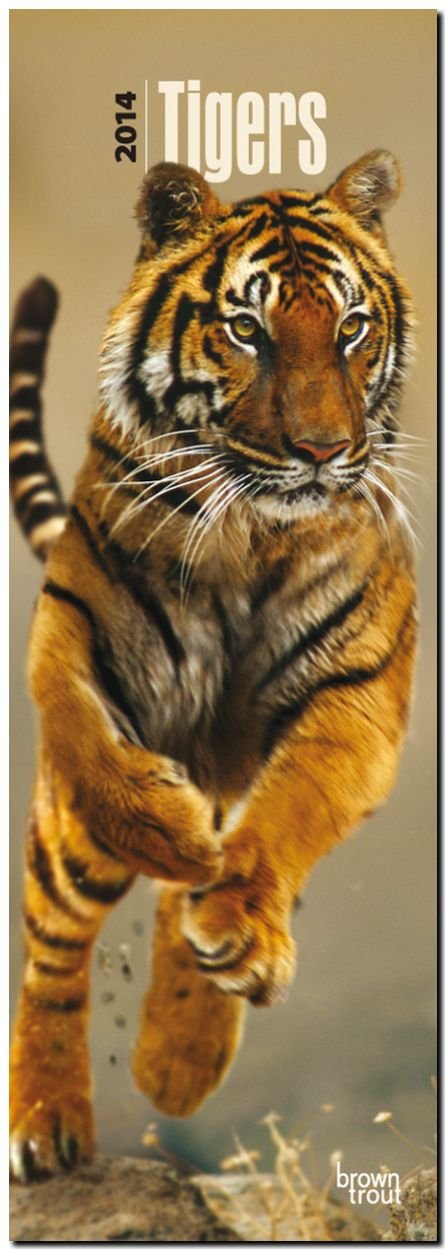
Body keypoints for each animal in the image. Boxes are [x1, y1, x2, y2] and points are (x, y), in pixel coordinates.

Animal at [10, 151, 417, 1182]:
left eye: (352, 327)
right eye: (247, 329)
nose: (323, 452)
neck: (253, 537)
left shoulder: (359, 695)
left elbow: (289, 813)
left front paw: (232, 929)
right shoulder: (72, 635)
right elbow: (103, 763)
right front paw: (176, 836)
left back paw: (181, 1053)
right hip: (67, 847)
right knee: (54, 943)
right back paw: (45, 1122)